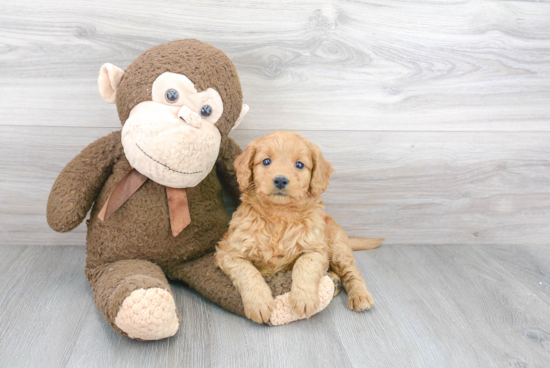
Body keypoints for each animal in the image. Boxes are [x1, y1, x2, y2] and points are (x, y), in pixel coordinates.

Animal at [217, 131, 384, 324]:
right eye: (266, 161)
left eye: (299, 164)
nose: (280, 180)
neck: (279, 214)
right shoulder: (229, 252)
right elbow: (248, 272)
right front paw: (259, 303)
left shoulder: (316, 248)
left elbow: (305, 265)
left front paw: (304, 299)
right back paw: (334, 282)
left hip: (338, 247)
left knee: (352, 272)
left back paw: (360, 296)